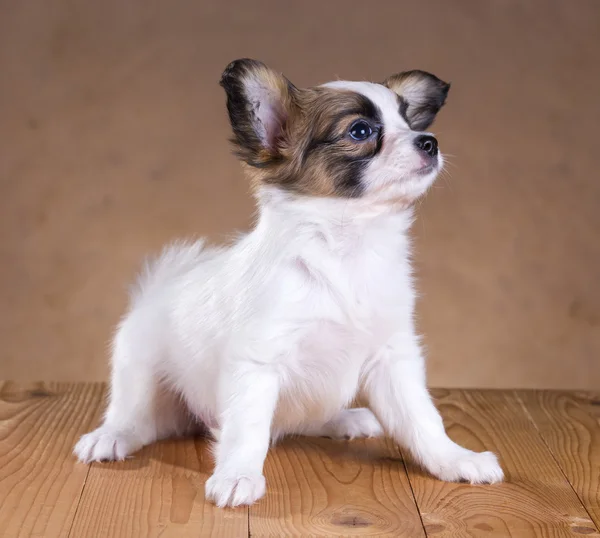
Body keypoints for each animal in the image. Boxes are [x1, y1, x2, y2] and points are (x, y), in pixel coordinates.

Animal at [76, 59, 506, 506]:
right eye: (360, 131)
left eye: (408, 121)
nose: (430, 142)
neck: (348, 249)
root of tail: (157, 290)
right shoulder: (258, 361)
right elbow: (247, 428)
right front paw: (238, 475)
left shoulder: (393, 357)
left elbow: (422, 418)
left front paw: (455, 459)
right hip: (140, 372)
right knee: (139, 419)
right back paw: (111, 436)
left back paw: (344, 420)